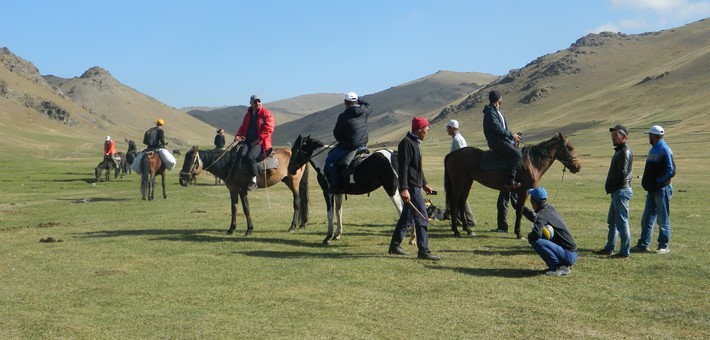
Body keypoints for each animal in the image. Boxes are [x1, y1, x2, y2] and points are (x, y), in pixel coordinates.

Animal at [177, 142, 308, 235]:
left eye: (190, 160)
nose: (182, 180)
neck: (230, 163)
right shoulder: (233, 190)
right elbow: (234, 208)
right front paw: (231, 229)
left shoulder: (242, 190)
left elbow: (246, 209)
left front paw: (249, 229)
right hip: (288, 181)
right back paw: (300, 224)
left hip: (294, 183)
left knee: (297, 202)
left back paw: (292, 226)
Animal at [444, 133, 584, 239]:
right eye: (570, 147)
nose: (578, 166)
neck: (532, 162)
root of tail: (453, 154)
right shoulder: (525, 190)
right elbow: (520, 210)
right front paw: (519, 233)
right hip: (459, 182)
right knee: (454, 202)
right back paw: (456, 231)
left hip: (467, 183)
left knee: (461, 203)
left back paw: (468, 229)